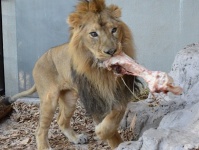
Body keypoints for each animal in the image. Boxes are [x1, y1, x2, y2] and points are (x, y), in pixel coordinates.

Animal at [4, 0, 141, 149]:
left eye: (114, 30)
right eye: (93, 34)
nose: (111, 51)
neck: (103, 74)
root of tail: (39, 59)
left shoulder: (120, 94)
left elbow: (116, 114)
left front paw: (115, 140)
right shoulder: (94, 100)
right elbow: (108, 127)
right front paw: (103, 134)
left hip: (69, 99)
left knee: (61, 120)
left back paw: (76, 138)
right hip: (49, 99)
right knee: (40, 129)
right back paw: (45, 146)